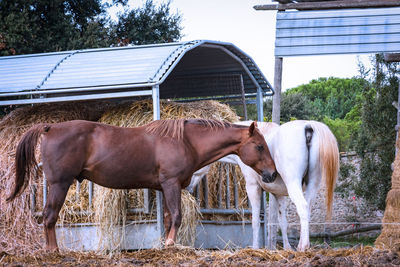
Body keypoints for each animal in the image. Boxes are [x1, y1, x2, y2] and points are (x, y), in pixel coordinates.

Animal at [7, 119, 276, 251]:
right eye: (259, 146)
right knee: (49, 216)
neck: (185, 140)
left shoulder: (166, 188)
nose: (272, 174)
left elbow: (168, 218)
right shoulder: (171, 184)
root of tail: (49, 127)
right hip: (59, 184)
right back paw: (53, 251)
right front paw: (170, 244)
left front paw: (167, 244)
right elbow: (177, 216)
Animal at [189, 120, 340, 252]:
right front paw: (287, 248)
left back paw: (303, 246)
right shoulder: (279, 195)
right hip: (312, 186)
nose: (188, 187)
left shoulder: (253, 187)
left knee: (302, 207)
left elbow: (255, 221)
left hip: (293, 185)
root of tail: (307, 127)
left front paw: (255, 248)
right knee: (307, 210)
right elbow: (282, 222)